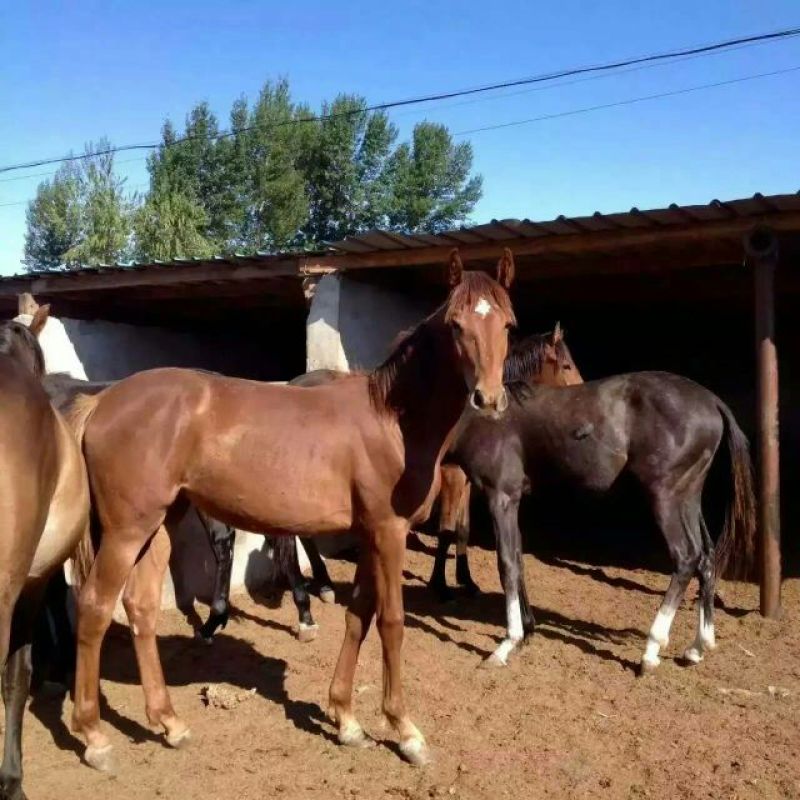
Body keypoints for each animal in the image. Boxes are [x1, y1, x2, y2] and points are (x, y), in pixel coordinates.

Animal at [67, 248, 516, 770]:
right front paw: (405, 731)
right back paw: (95, 737)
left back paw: (170, 723)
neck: (393, 420)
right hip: (126, 530)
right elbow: (391, 623)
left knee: (139, 607)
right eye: (456, 324)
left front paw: (346, 720)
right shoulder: (388, 533)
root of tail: (102, 401)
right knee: (96, 607)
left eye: (507, 323)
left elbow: (358, 615)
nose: (488, 398)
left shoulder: (370, 534)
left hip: (161, 522)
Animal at [447, 371, 756, 670]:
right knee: (706, 557)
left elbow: (508, 564)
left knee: (686, 558)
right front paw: (527, 631)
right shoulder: (511, 502)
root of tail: (711, 401)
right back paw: (697, 648)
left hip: (666, 497)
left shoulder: (501, 497)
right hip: (688, 497)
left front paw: (507, 644)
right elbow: (518, 558)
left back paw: (651, 652)